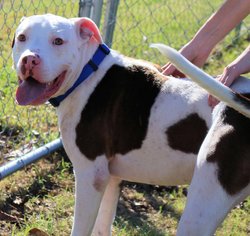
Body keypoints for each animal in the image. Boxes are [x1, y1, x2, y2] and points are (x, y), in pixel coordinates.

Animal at [12, 13, 250, 235]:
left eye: (58, 41)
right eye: (22, 37)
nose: (29, 60)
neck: (87, 74)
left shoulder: (91, 175)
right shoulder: (111, 177)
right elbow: (102, 226)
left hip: (202, 206)